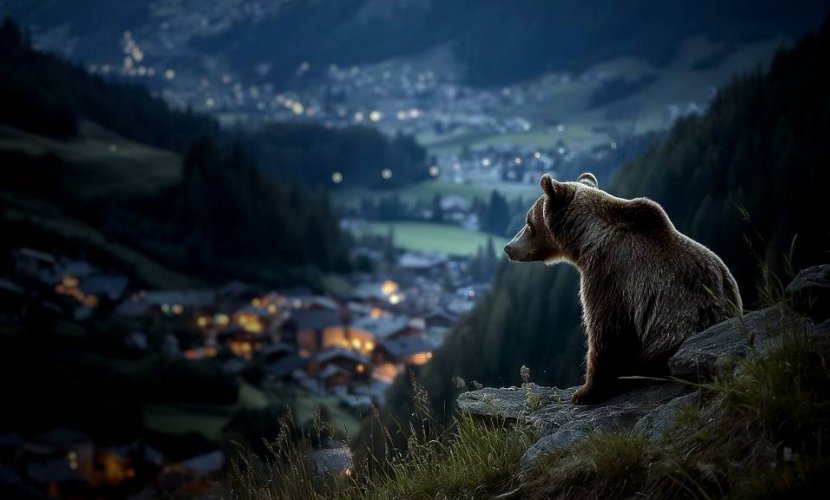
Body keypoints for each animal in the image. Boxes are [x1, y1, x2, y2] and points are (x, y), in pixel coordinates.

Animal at [504, 174, 744, 404]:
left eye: (528, 222)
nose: (508, 247)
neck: (585, 240)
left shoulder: (610, 276)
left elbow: (608, 333)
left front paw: (585, 392)